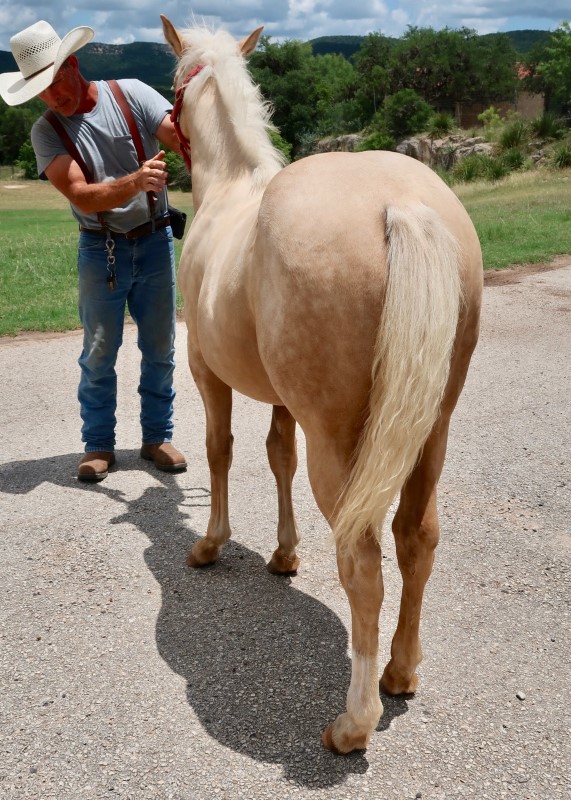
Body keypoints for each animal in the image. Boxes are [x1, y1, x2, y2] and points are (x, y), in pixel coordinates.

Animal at [163, 12, 484, 752]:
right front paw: (283, 555)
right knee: (417, 537)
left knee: (363, 562)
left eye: (173, 85)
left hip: (340, 444)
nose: (162, 137)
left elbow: (221, 451)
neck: (232, 187)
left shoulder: (205, 370)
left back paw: (352, 723)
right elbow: (276, 456)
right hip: (431, 430)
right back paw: (399, 672)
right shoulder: (286, 403)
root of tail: (402, 205)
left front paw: (210, 544)